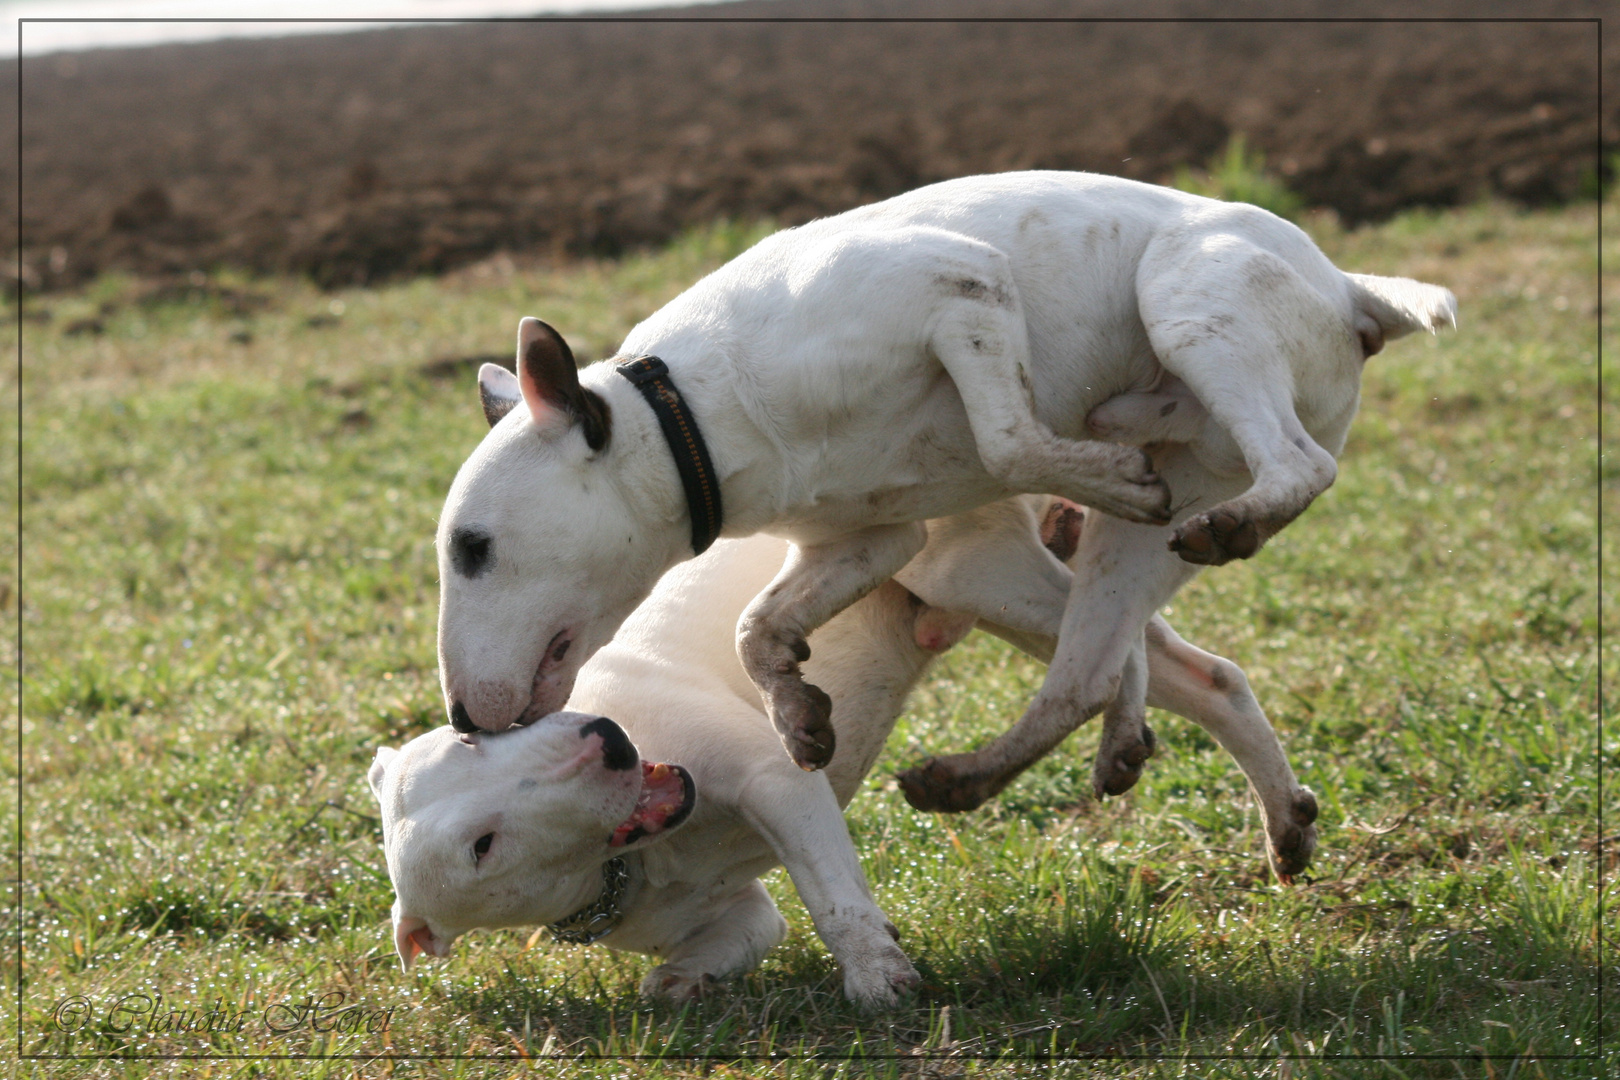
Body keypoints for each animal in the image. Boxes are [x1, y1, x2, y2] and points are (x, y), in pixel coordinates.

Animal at [367, 495, 1315, 1003]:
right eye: (484, 847)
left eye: (475, 741)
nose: (605, 742)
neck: (651, 852)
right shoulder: (736, 911)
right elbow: (731, 940)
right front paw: (683, 984)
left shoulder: (775, 781)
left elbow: (833, 899)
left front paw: (877, 976)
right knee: (1201, 675)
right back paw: (1283, 822)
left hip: (979, 572)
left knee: (1125, 657)